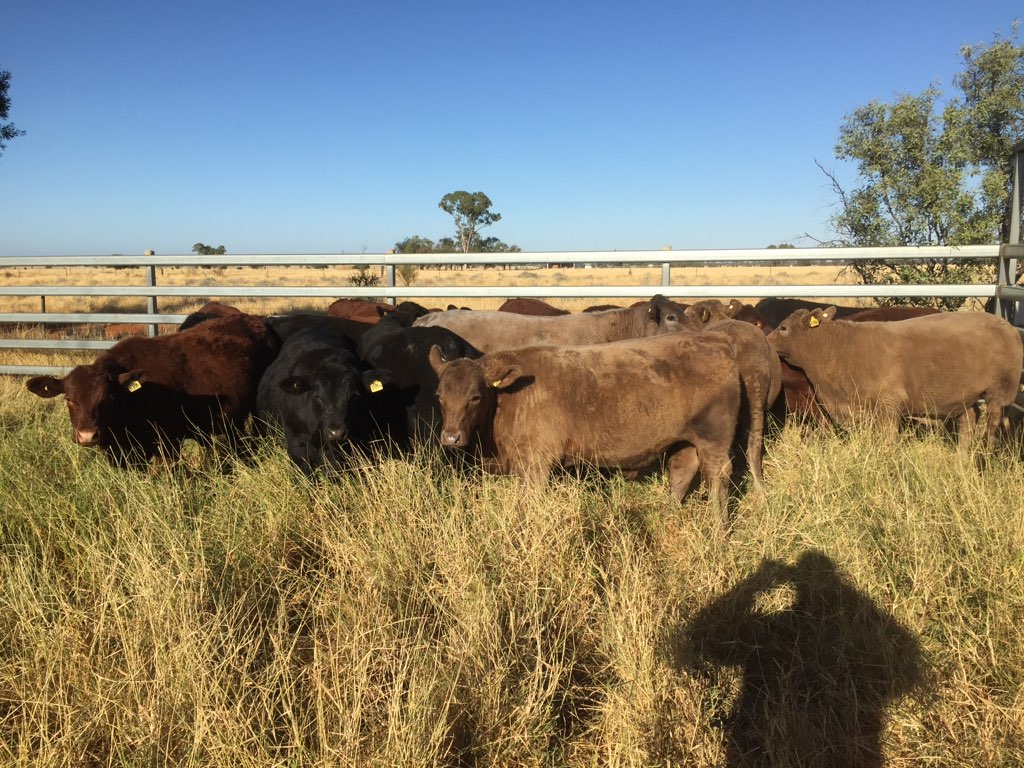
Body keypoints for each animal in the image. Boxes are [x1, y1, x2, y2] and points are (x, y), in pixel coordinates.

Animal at [428, 332, 742, 524]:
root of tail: (715, 340)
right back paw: (667, 513)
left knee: (718, 476)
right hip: (684, 439)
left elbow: (526, 506)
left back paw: (718, 528)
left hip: (713, 438)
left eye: (475, 397)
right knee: (681, 470)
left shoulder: (535, 464)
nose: (451, 437)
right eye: (439, 395)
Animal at [766, 307, 1024, 454]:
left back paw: (985, 458)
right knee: (968, 421)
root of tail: (1007, 326)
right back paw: (961, 457)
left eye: (783, 327)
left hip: (1000, 393)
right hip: (965, 397)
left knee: (993, 426)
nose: (766, 340)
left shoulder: (889, 406)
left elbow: (888, 442)